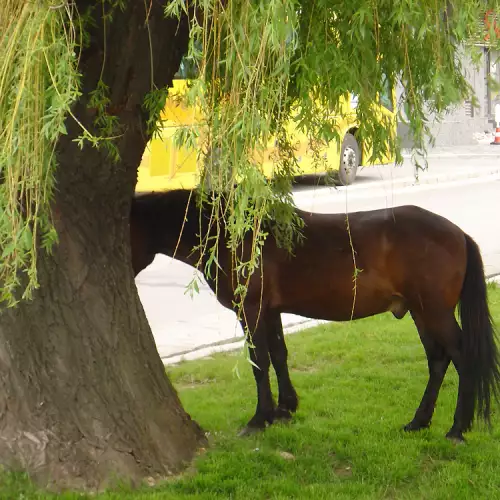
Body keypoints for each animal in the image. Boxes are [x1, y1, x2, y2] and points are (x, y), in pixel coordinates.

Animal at [130, 188, 500, 442]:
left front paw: (259, 419)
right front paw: (284, 409)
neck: (234, 231)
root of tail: (459, 234)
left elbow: (259, 362)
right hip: (420, 313)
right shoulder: (271, 311)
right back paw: (419, 421)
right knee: (438, 360)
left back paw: (457, 429)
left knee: (461, 356)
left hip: (434, 311)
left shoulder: (251, 310)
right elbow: (278, 355)